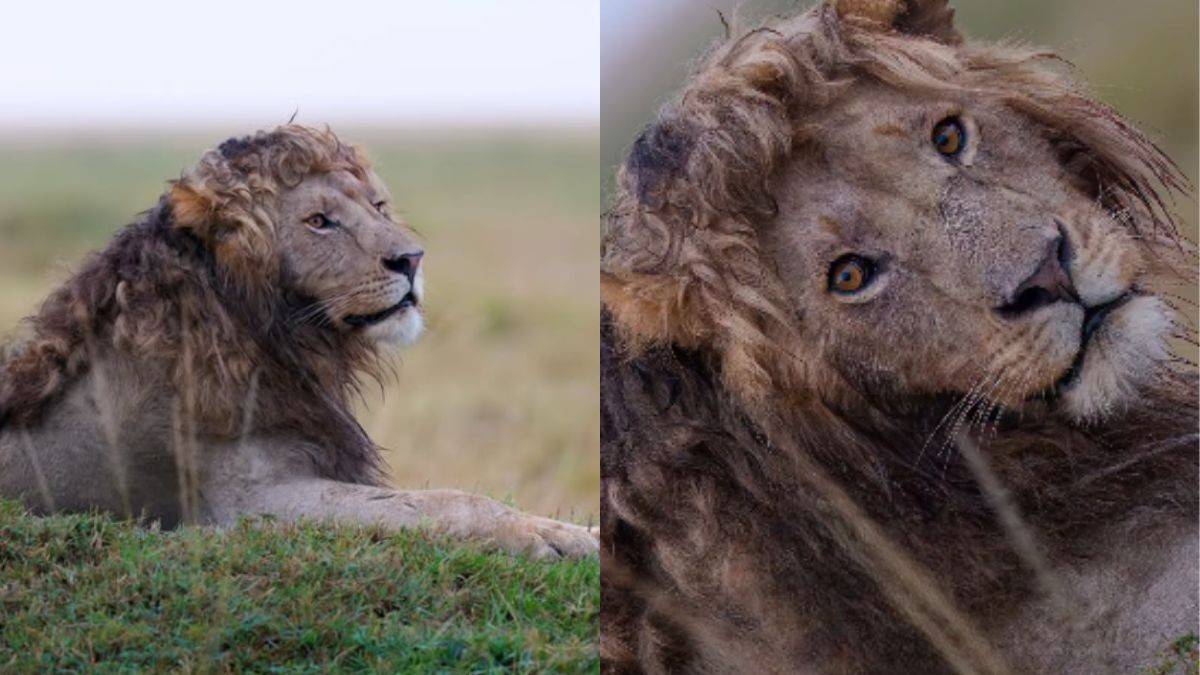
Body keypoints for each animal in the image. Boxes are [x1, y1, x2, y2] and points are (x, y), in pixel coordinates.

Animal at [0, 124, 597, 561]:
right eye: (319, 221)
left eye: (378, 206)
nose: (411, 259)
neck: (276, 335)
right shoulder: (249, 504)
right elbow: (448, 502)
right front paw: (543, 538)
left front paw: (577, 533)